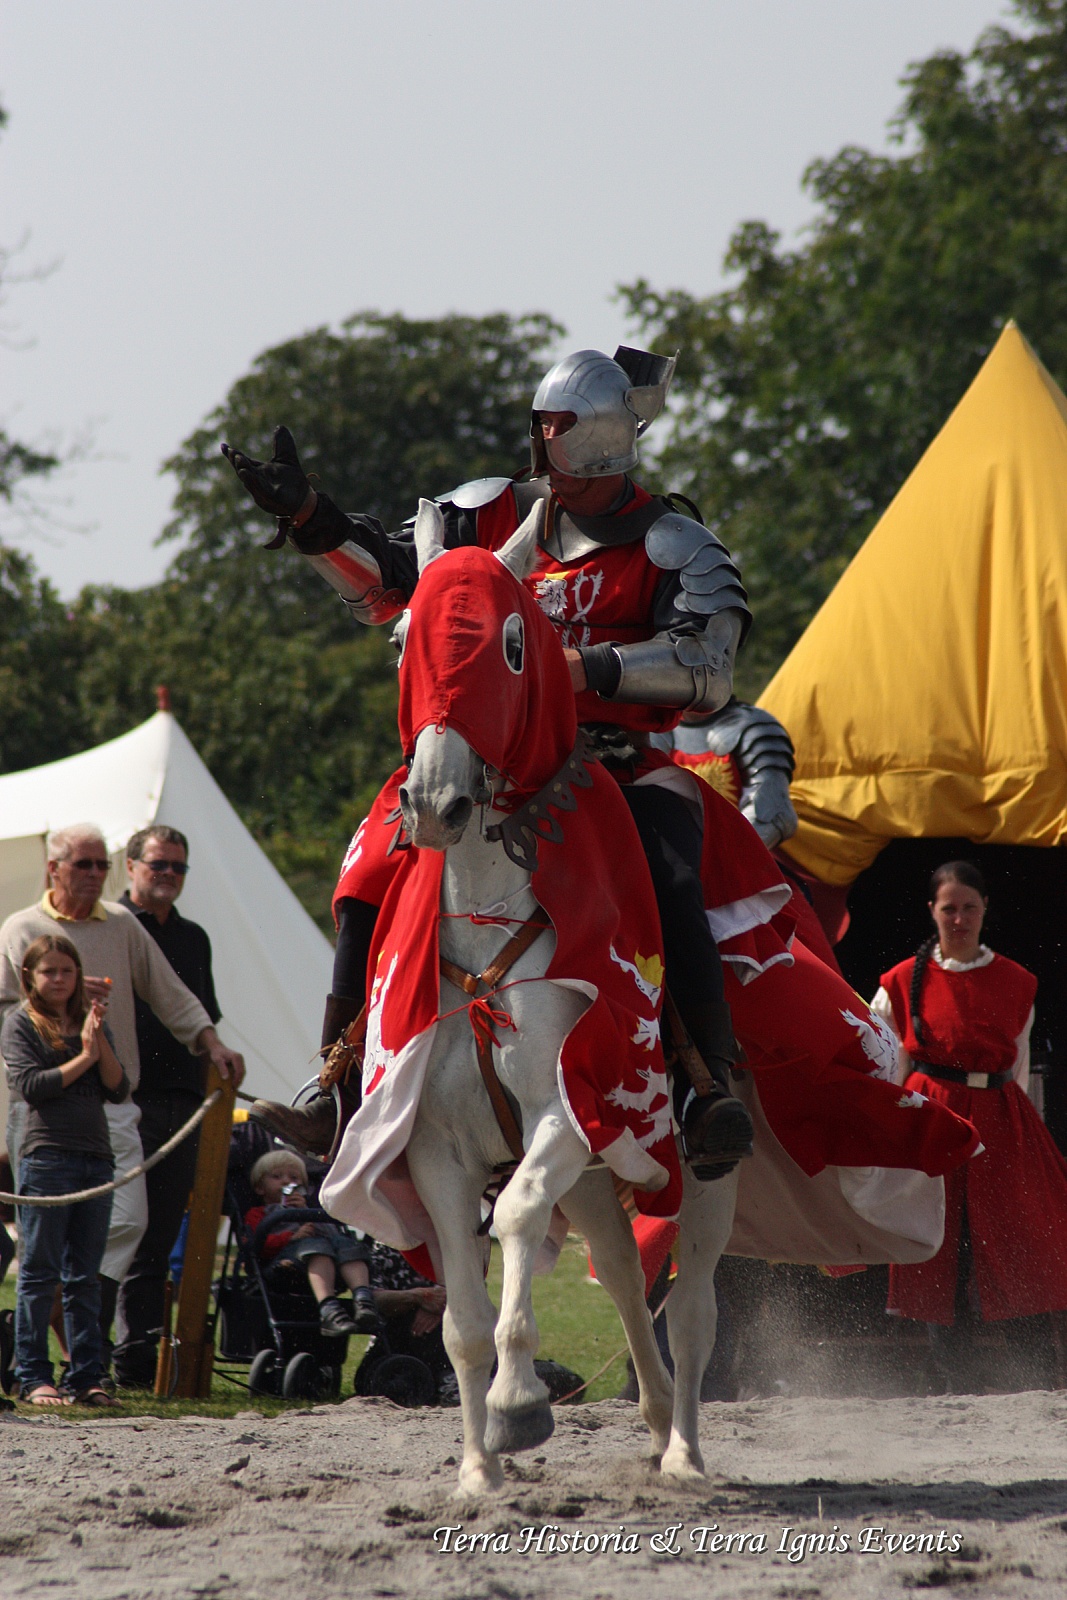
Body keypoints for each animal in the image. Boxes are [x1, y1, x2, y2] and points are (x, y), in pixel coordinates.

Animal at [321, 496, 735, 1495]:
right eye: (402, 638)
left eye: (513, 645)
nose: (434, 804)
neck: (486, 914)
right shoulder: (428, 1148)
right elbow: (459, 1321)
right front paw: (478, 1470)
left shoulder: (567, 1108)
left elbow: (511, 1217)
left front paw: (517, 1406)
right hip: (599, 1171)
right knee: (622, 1272)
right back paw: (652, 1420)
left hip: (696, 1165)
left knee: (691, 1300)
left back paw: (683, 1453)